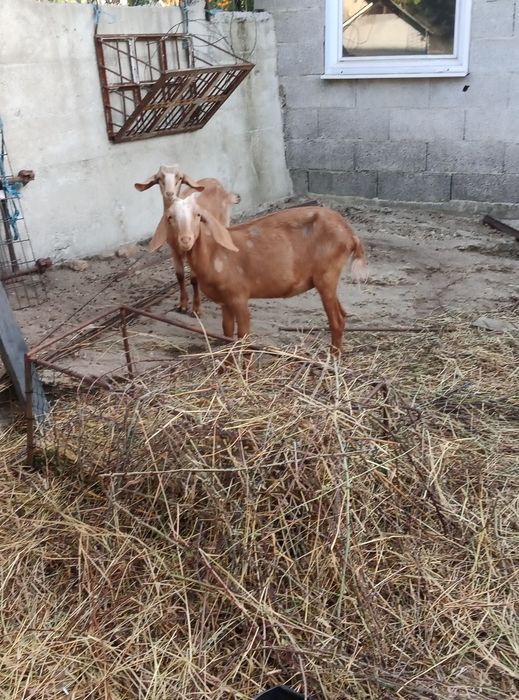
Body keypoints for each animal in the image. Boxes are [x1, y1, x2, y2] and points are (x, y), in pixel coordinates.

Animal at [134, 165, 240, 315]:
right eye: (159, 178)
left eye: (179, 177)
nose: (170, 193)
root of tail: (216, 182)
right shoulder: (174, 250)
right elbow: (179, 276)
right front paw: (182, 305)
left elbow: (194, 279)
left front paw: (196, 308)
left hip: (224, 220)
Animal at [165, 193, 367, 353]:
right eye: (170, 217)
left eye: (198, 215)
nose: (185, 240)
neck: (215, 253)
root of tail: (351, 235)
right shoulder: (225, 302)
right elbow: (228, 335)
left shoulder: (239, 296)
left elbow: (244, 336)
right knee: (343, 314)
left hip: (326, 274)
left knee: (337, 321)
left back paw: (333, 361)